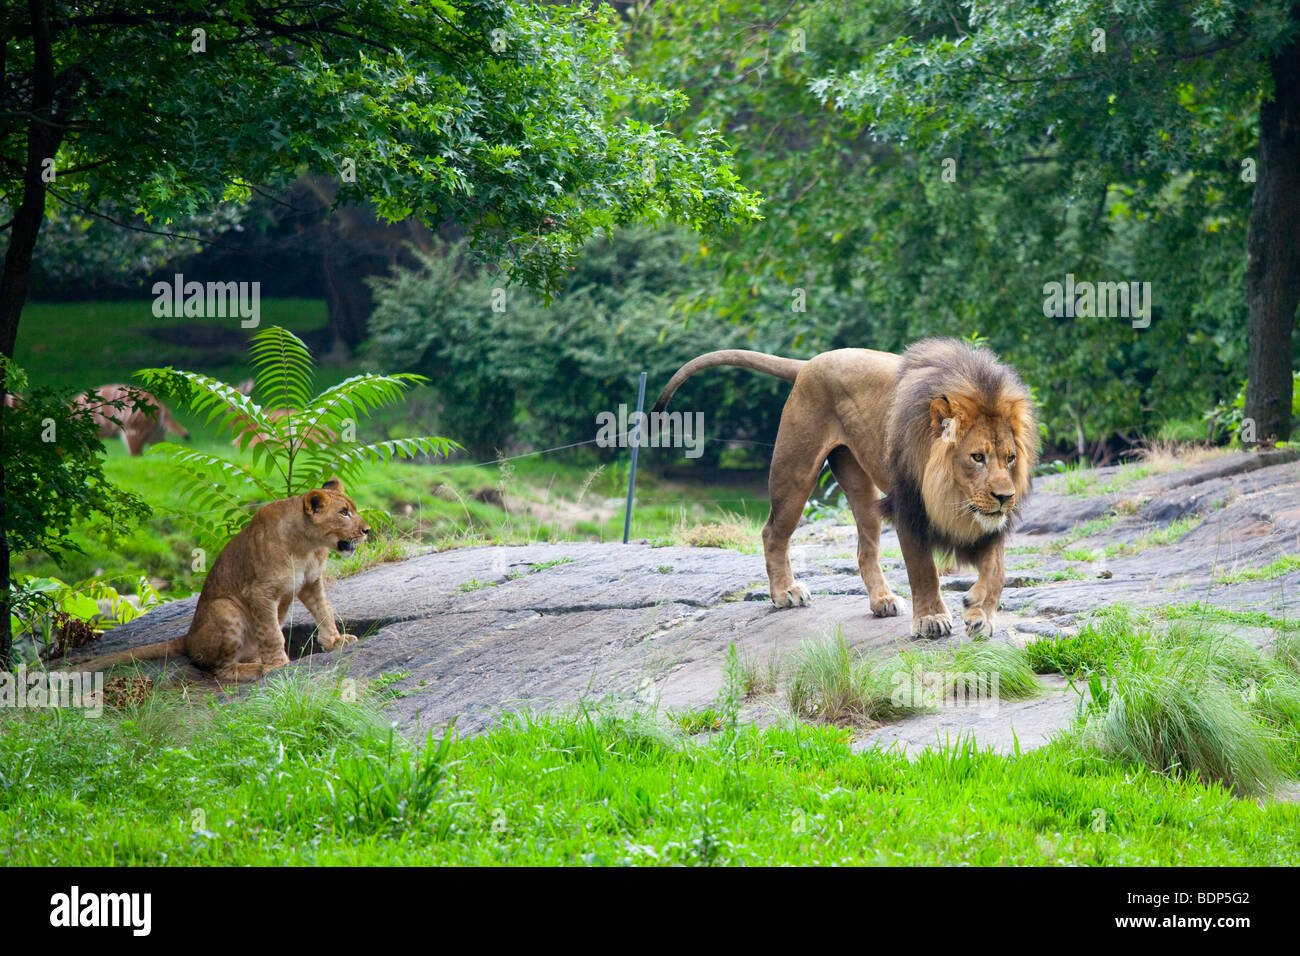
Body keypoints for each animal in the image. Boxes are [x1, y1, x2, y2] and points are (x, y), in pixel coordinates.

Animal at [72, 478, 371, 681]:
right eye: (344, 512)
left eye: (353, 509)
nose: (367, 530)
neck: (308, 545)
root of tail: (187, 638)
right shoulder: (258, 592)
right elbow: (272, 633)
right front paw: (277, 664)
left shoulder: (310, 582)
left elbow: (324, 611)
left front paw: (335, 641)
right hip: (225, 608)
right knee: (218, 669)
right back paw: (255, 668)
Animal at [653, 338, 1037, 638]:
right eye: (976, 457)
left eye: (1010, 458)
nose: (1005, 498)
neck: (952, 495)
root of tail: (811, 362)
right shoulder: (907, 507)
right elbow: (923, 569)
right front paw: (931, 619)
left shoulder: (991, 523)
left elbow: (996, 570)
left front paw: (979, 612)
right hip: (796, 471)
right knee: (772, 532)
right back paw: (785, 592)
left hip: (862, 489)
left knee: (865, 550)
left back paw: (882, 601)